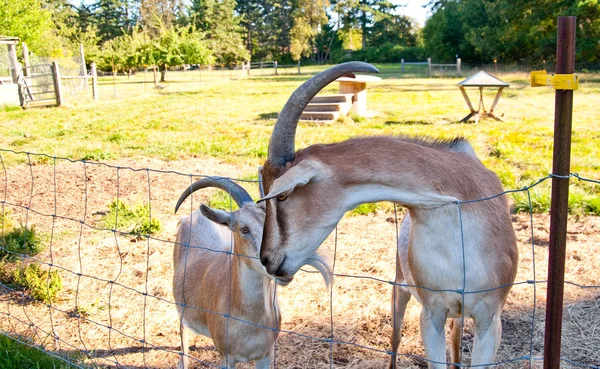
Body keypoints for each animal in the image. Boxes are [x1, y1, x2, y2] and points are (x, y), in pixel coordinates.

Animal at [173, 176, 332, 368]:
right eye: (244, 229)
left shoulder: (266, 354)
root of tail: (193, 215)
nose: (279, 267)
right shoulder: (226, 357)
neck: (249, 322)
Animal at [256, 61, 516, 366]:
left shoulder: (489, 319)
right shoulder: (432, 314)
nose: (267, 260)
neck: (458, 205)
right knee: (396, 338)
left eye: (282, 195)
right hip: (400, 291)